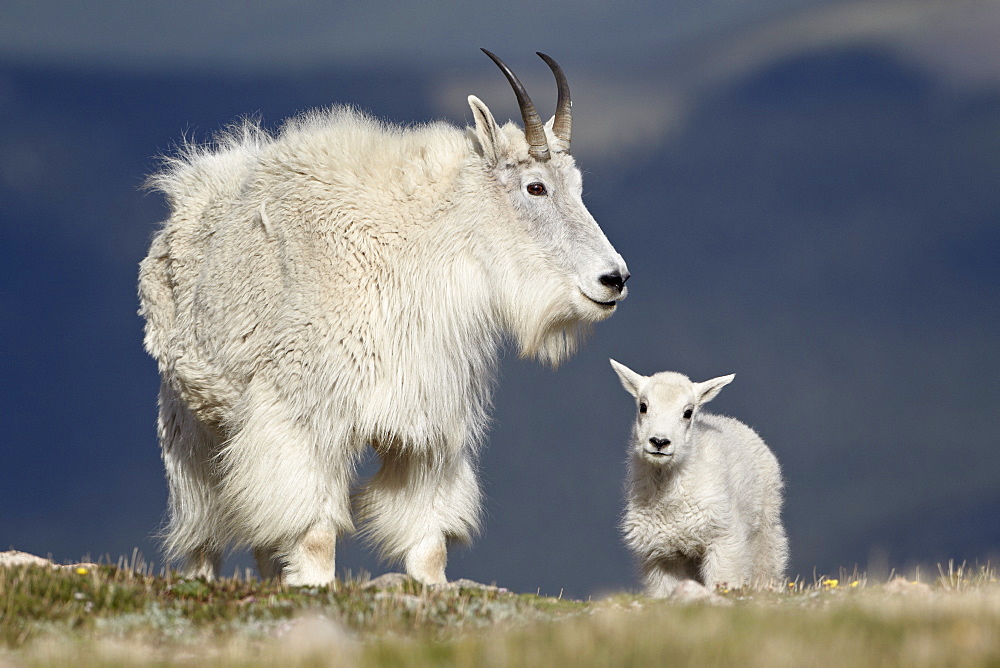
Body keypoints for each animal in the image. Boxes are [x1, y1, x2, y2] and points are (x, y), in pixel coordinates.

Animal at [138, 51, 628, 584]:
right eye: (535, 187)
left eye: (577, 186)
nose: (614, 279)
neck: (410, 251)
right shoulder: (302, 416)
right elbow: (314, 532)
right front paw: (316, 586)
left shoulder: (428, 427)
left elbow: (428, 538)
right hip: (188, 419)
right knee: (204, 520)